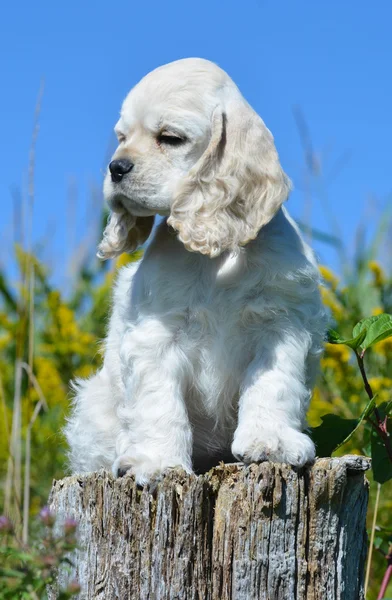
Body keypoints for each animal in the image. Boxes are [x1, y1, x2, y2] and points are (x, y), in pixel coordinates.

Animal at [66, 58, 326, 486]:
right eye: (122, 137)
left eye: (170, 138)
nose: (115, 167)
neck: (217, 258)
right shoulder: (156, 334)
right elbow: (159, 402)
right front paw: (156, 461)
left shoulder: (281, 324)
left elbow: (273, 384)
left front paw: (271, 441)